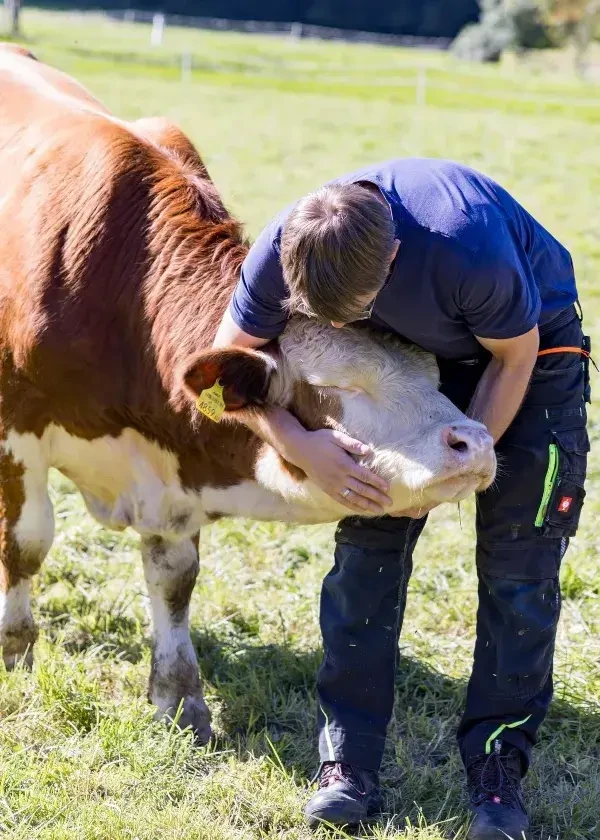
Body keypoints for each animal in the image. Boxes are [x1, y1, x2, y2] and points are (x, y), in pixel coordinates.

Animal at [0, 45, 496, 742]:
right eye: (335, 386)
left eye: (435, 373)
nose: (473, 443)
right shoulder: (16, 428)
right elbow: (27, 542)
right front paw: (16, 651)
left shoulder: (171, 475)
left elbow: (174, 578)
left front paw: (179, 698)